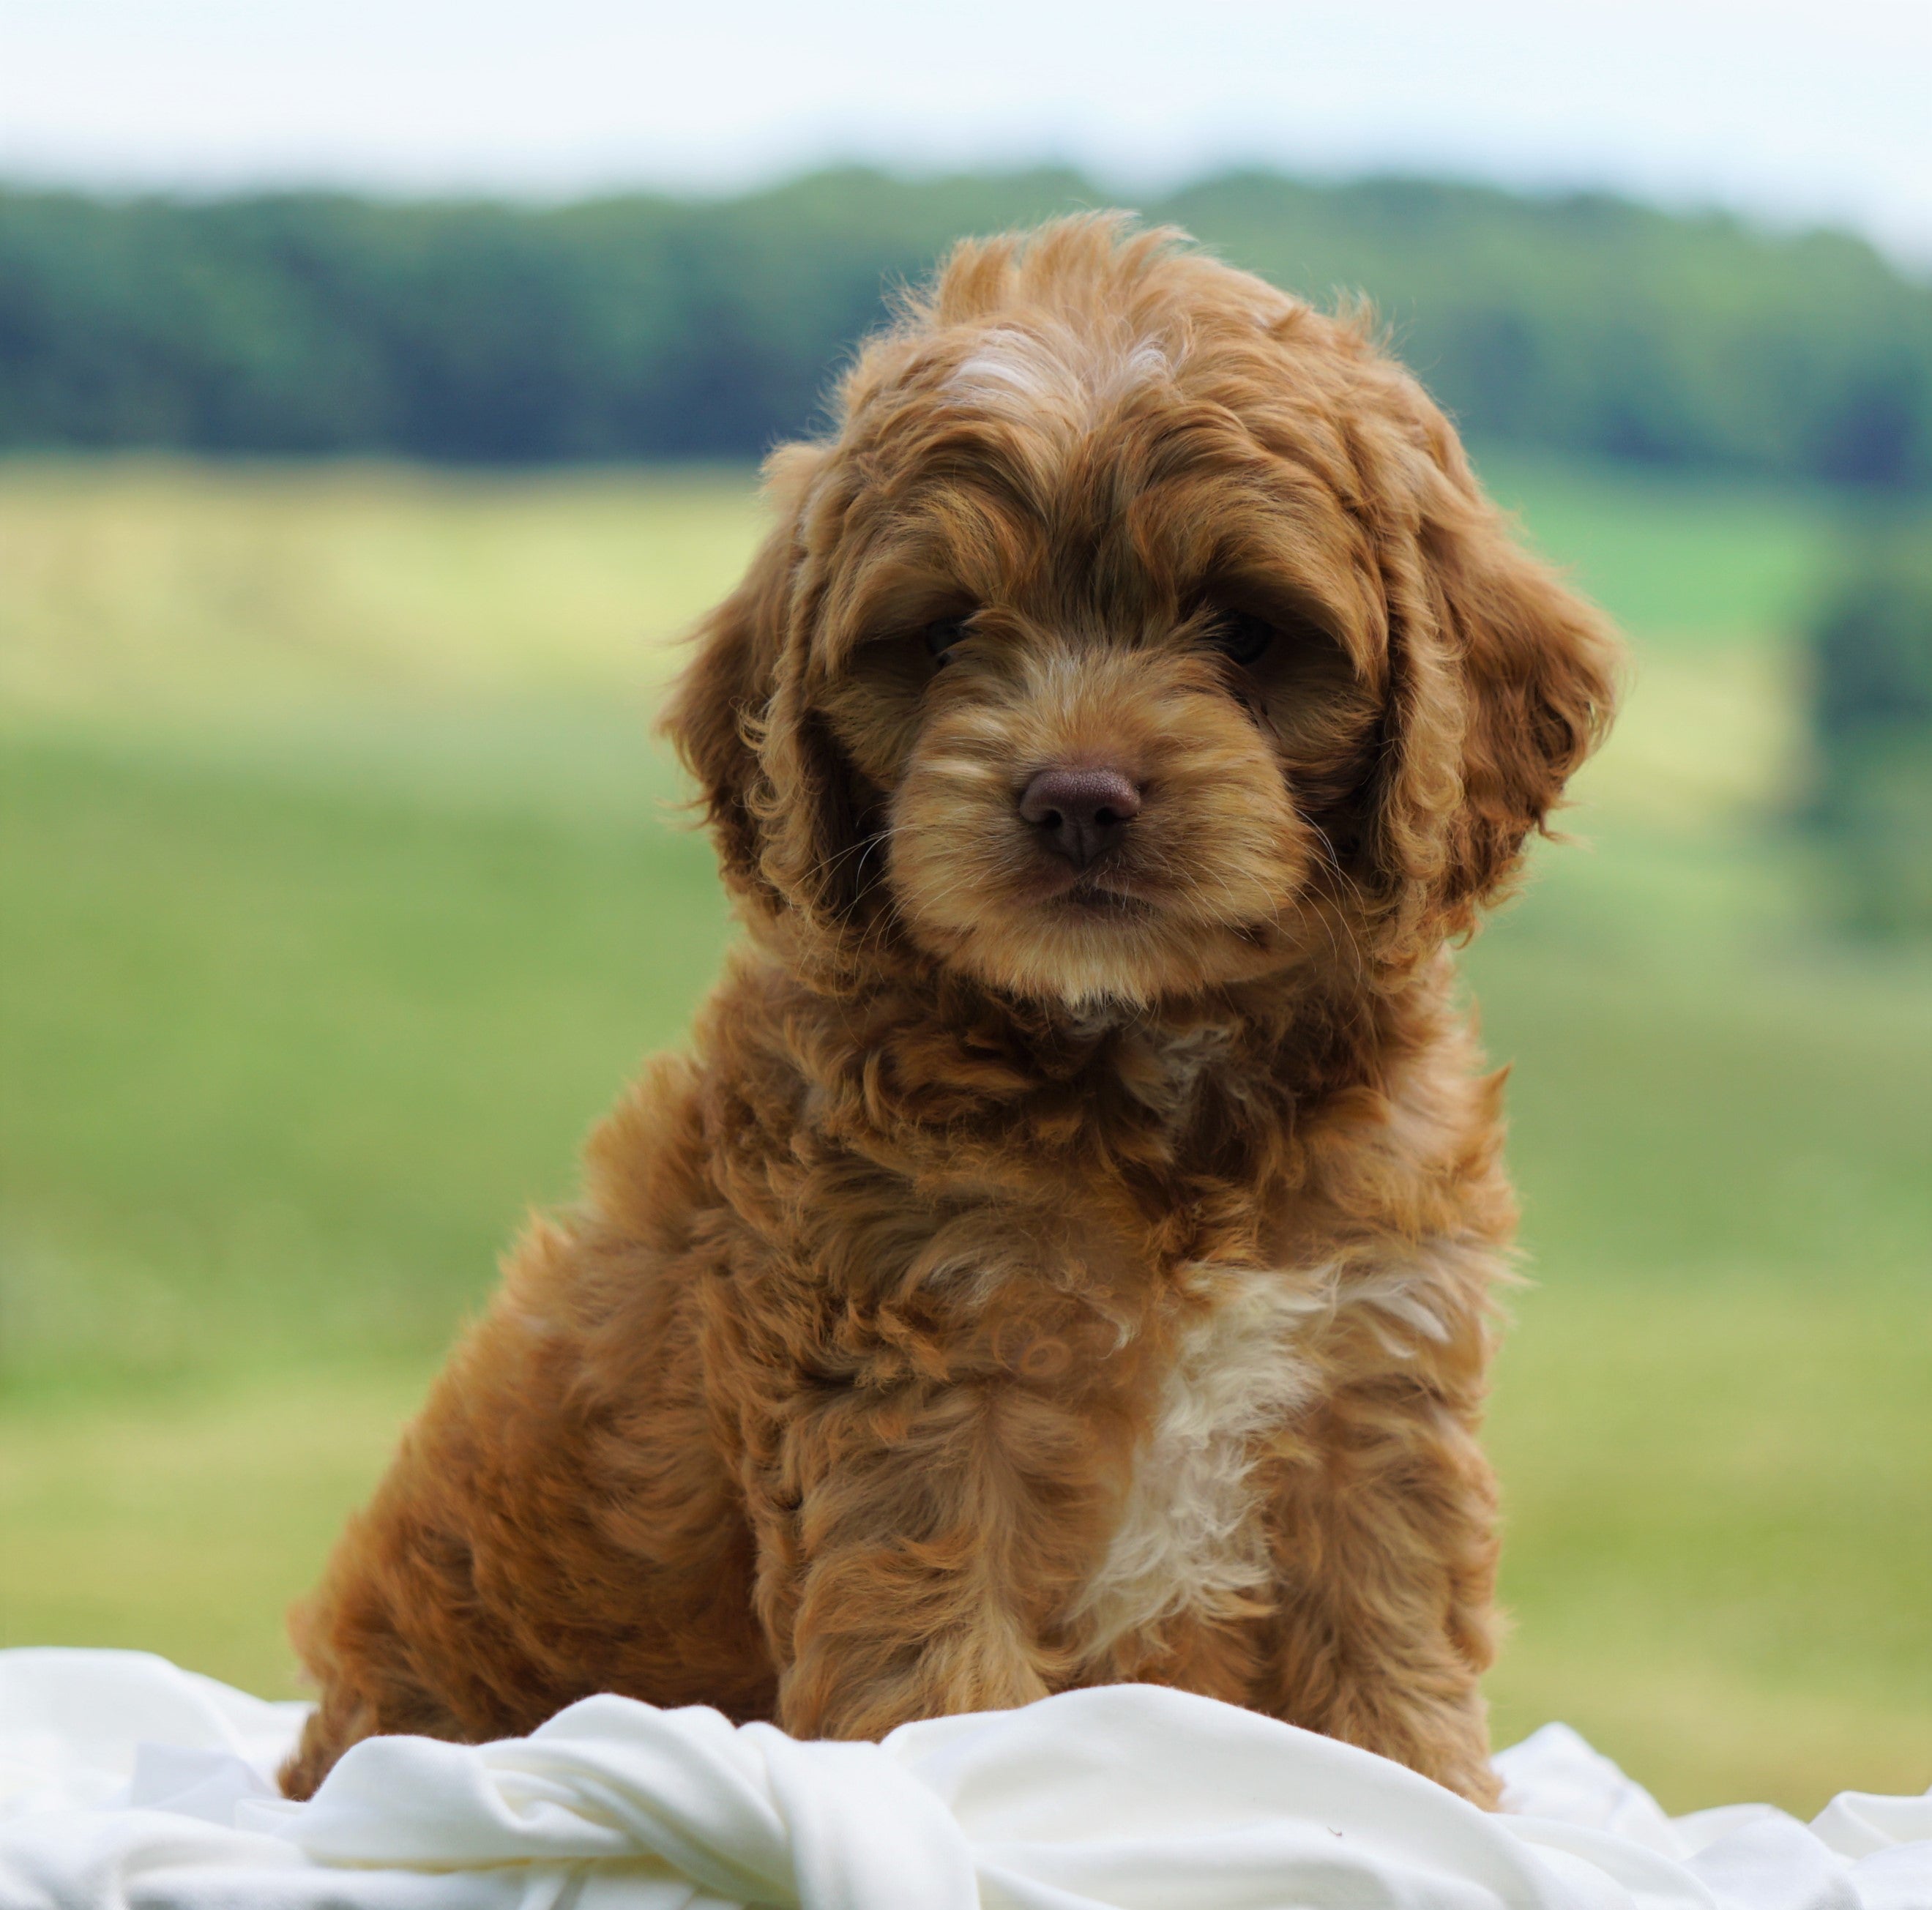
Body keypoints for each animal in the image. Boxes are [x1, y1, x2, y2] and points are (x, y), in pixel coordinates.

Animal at [282, 216, 1615, 1799]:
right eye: (944, 632)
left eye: (1243, 629)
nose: (1074, 796)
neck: (1149, 1054)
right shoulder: (913, 1369)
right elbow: (936, 1661)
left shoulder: (1370, 1367)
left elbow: (1388, 1651)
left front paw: (1424, 1797)